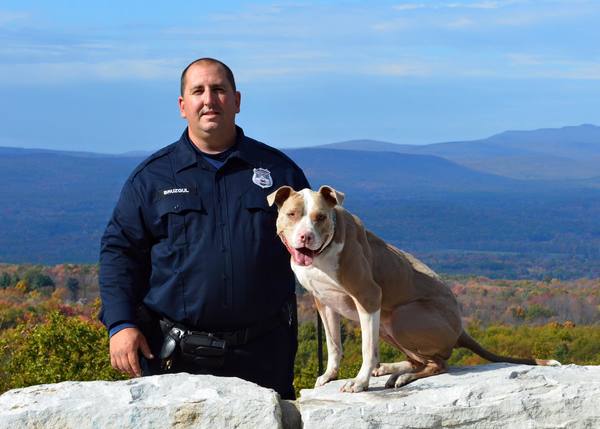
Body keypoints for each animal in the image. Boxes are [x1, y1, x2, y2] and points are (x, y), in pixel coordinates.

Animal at [268, 184, 556, 392]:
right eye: (292, 214)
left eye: (320, 217)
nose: (306, 236)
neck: (323, 254)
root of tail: (460, 329)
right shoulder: (324, 302)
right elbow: (333, 345)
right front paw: (329, 375)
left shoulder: (368, 297)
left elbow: (366, 349)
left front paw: (359, 383)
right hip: (389, 326)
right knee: (421, 359)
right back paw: (391, 369)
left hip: (403, 317)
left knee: (439, 363)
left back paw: (402, 377)